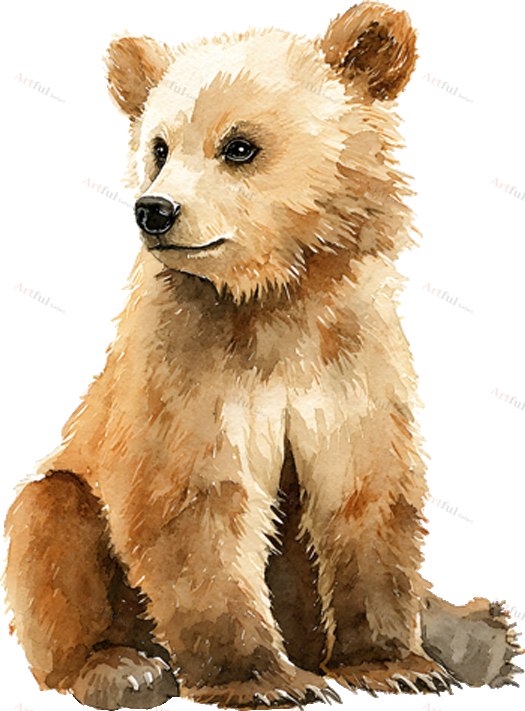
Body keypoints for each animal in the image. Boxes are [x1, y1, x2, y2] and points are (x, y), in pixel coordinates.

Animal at [4, 2, 521, 710]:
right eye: (159, 147)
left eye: (239, 146)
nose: (154, 210)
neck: (273, 298)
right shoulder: (190, 370)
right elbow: (196, 503)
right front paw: (264, 679)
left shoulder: (351, 363)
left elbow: (364, 495)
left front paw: (395, 663)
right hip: (69, 499)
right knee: (50, 524)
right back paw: (121, 667)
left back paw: (478, 634)